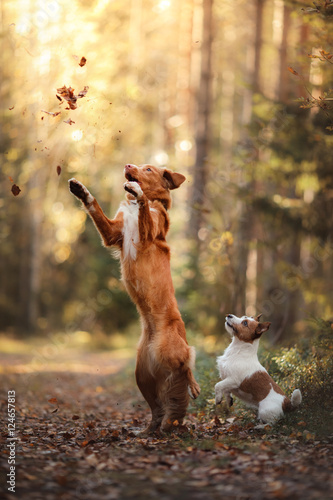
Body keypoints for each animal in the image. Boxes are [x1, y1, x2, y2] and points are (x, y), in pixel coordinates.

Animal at [68, 165, 198, 434]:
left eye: (147, 168)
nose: (128, 166)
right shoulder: (113, 233)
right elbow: (95, 207)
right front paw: (81, 190)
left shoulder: (146, 233)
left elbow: (144, 209)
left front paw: (137, 191)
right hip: (142, 376)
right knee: (158, 408)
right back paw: (150, 430)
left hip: (170, 351)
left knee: (187, 360)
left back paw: (193, 384)